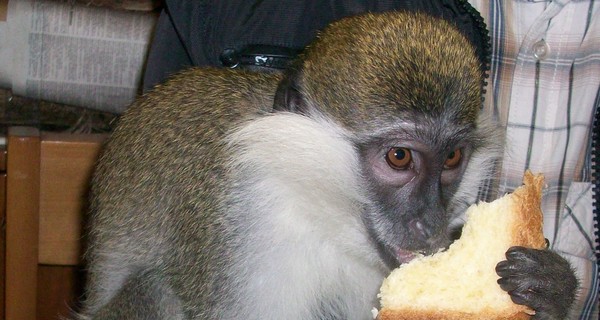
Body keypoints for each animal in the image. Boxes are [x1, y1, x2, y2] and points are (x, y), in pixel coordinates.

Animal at [79, 10, 576, 320]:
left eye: (452, 157)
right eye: (399, 157)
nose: (430, 225)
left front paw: (550, 288)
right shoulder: (235, 230)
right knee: (152, 289)